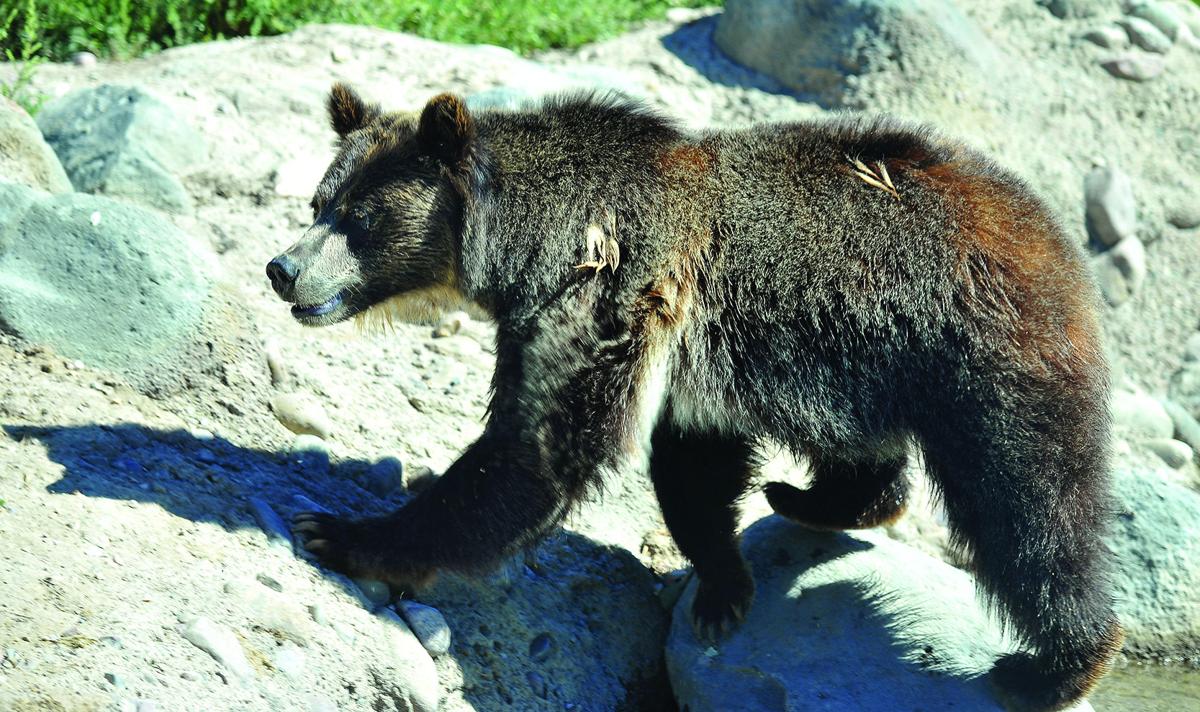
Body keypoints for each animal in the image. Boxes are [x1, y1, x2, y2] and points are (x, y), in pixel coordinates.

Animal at [268, 84, 1122, 711]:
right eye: (318, 202)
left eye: (360, 217)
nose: (283, 268)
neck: (525, 243)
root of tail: (1053, 233)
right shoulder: (687, 359)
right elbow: (691, 470)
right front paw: (723, 586)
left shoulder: (610, 288)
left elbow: (537, 451)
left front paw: (343, 532)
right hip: (855, 357)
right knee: (870, 452)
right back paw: (815, 498)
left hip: (982, 357)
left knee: (1028, 507)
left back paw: (1057, 664)